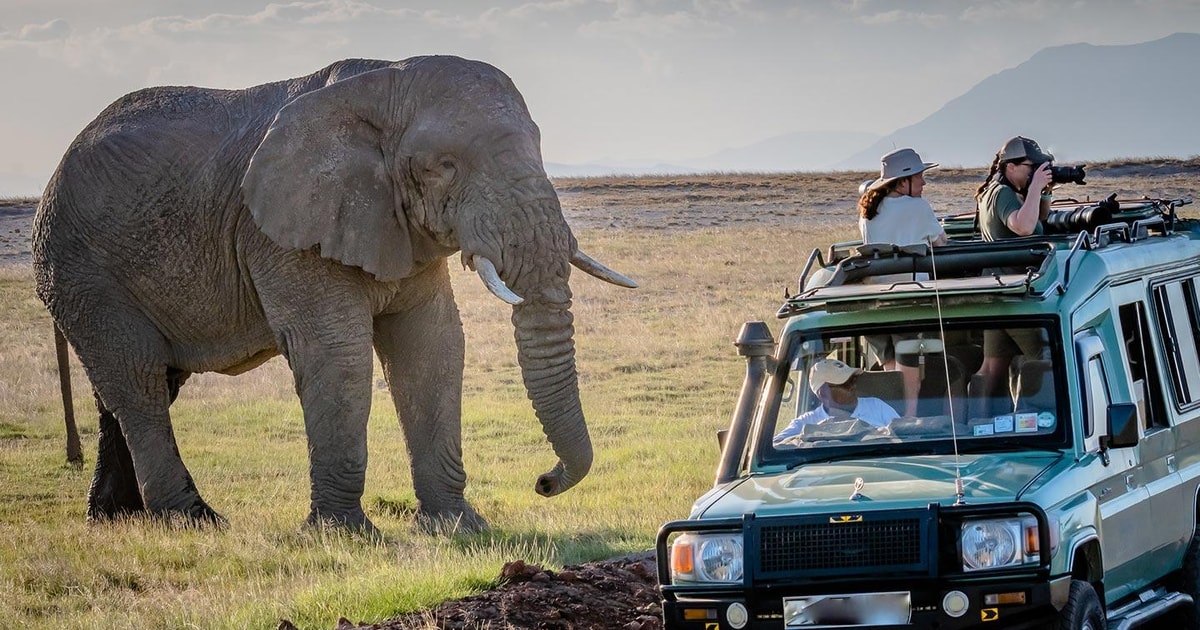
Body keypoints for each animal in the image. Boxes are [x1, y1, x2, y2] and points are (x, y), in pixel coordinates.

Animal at [30, 56, 638, 532]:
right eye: (443, 166)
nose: (543, 481)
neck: (385, 81)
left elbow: (432, 346)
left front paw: (458, 528)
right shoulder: (282, 231)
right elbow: (336, 352)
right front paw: (344, 534)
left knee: (142, 384)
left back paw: (114, 519)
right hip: (82, 270)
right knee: (139, 383)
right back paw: (193, 521)